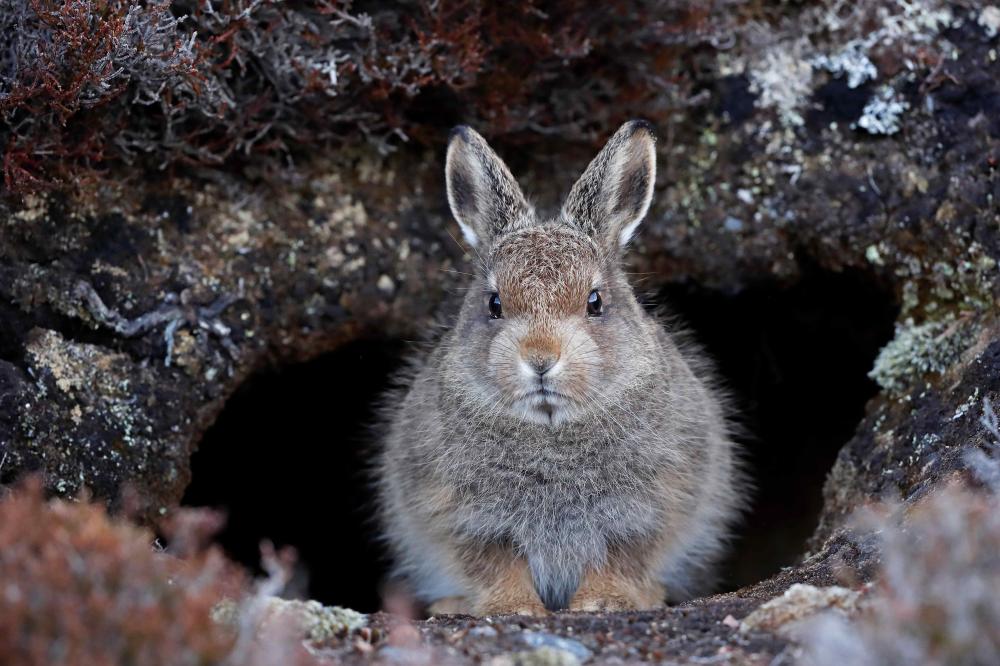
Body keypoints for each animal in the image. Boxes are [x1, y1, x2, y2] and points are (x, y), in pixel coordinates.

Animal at [376, 120, 745, 616]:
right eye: (494, 304)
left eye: (595, 302)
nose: (540, 359)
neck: (550, 427)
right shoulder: (458, 515)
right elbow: (495, 565)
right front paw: (511, 607)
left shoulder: (655, 505)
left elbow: (621, 558)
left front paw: (604, 602)